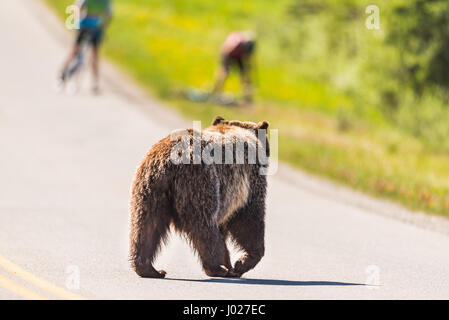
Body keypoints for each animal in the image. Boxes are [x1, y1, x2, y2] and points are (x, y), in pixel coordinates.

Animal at [130, 115, 270, 278]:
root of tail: (171, 159)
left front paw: (232, 265)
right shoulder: (248, 182)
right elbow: (250, 218)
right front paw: (240, 264)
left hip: (149, 187)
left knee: (146, 225)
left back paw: (150, 269)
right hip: (201, 182)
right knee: (205, 226)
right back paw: (216, 268)